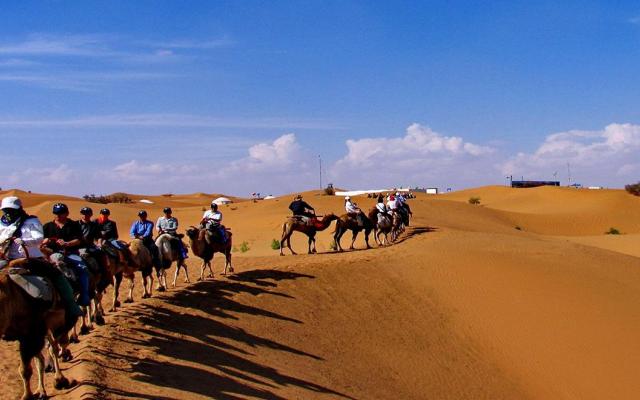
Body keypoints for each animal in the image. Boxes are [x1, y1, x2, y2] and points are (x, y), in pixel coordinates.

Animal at [0, 256, 75, 400]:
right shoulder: (29, 335)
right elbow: (31, 365)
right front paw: (31, 394)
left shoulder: (32, 334)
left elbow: (26, 370)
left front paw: (27, 396)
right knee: (45, 354)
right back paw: (42, 390)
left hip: (54, 322)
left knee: (55, 347)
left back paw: (60, 379)